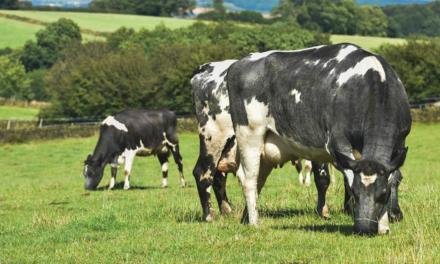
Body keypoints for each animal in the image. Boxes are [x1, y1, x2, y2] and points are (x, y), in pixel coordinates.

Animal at [227, 43, 412, 235]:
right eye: (355, 193)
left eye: (382, 194)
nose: (364, 228)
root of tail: (241, 62)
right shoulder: (338, 142)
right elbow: (348, 177)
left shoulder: (399, 145)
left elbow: (393, 177)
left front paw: (384, 225)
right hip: (249, 134)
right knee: (249, 180)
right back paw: (254, 223)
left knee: (259, 180)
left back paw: (246, 218)